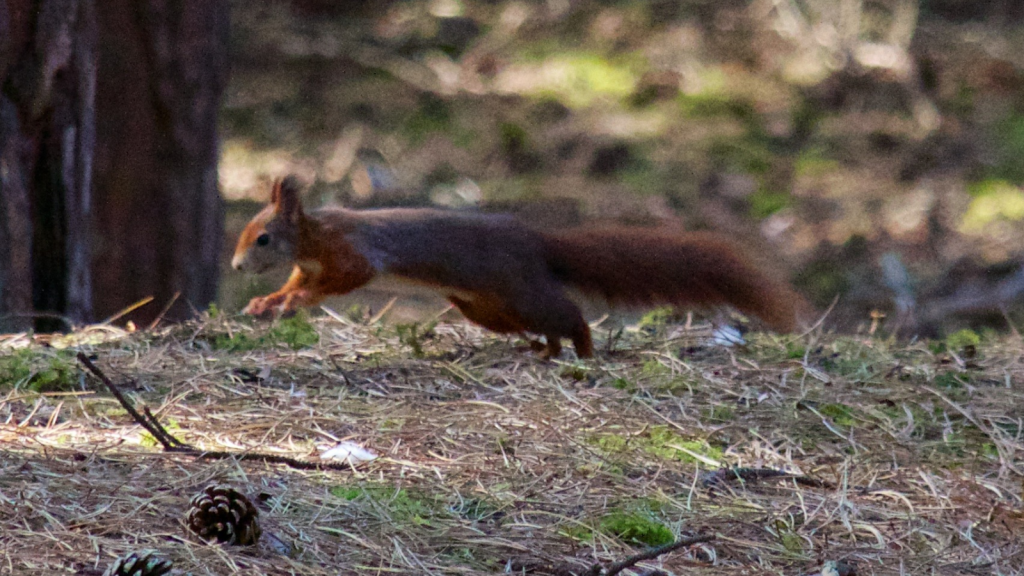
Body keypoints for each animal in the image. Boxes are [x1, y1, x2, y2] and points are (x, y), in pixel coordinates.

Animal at [232, 176, 806, 354]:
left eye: (262, 238)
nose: (235, 267)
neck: (313, 237)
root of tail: (535, 240)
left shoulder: (353, 252)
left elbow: (348, 277)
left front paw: (294, 301)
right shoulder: (311, 264)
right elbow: (293, 287)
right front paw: (267, 302)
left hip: (520, 289)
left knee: (569, 313)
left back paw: (583, 351)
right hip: (488, 309)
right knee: (545, 325)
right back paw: (546, 352)